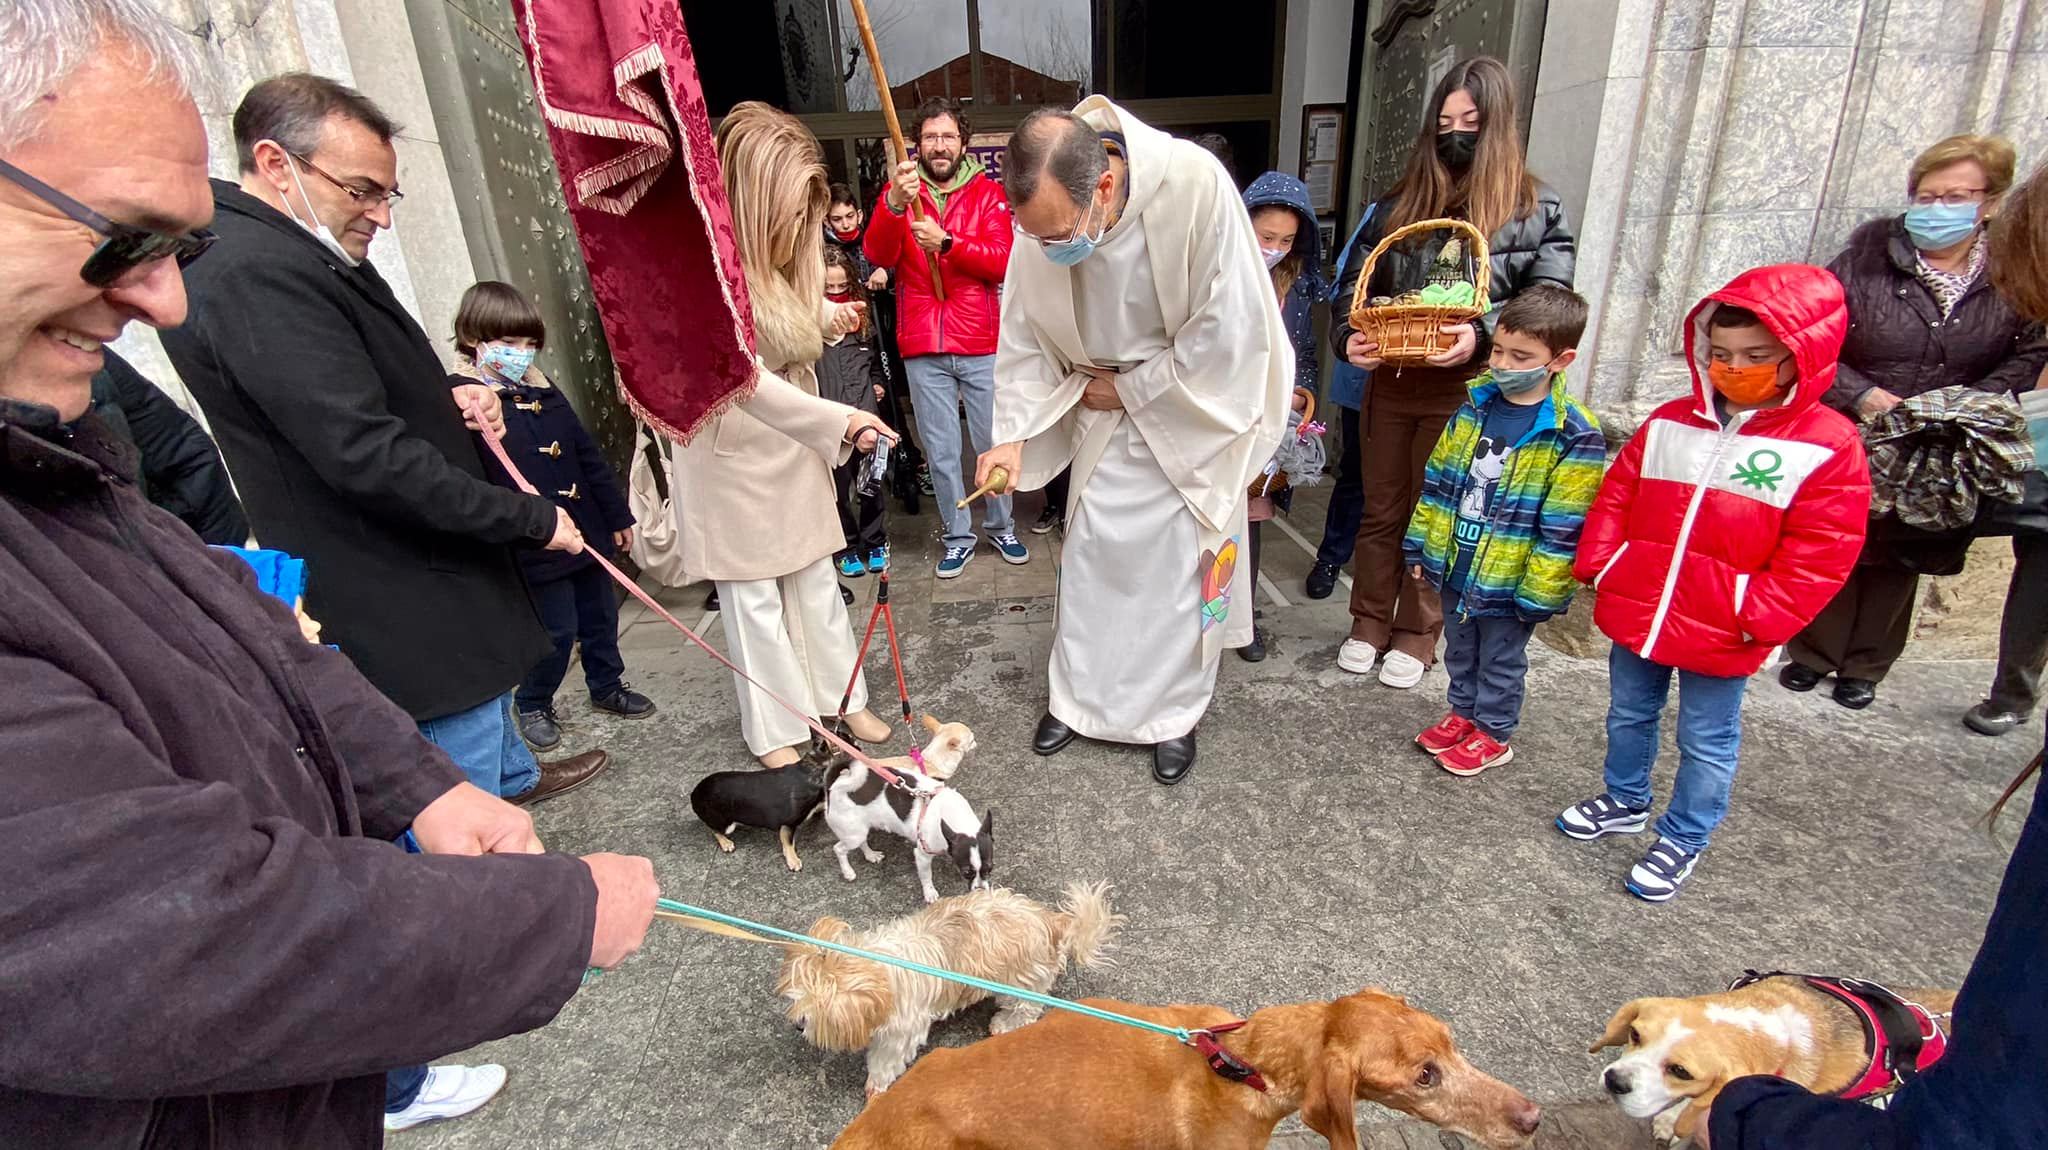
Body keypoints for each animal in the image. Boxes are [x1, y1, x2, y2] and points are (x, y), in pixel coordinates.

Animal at [688, 732, 847, 867]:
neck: (815, 767)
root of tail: (694, 793)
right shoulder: (787, 825)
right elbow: (788, 843)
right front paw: (793, 860)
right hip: (725, 824)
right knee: (715, 830)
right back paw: (726, 843)